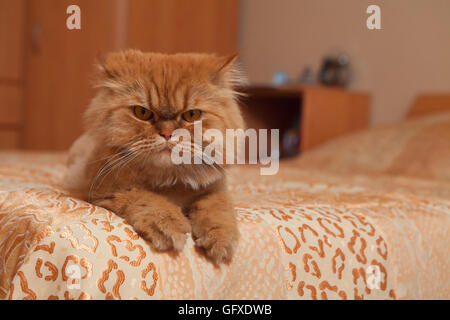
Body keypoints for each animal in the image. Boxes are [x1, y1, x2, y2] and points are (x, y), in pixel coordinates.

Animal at [64, 49, 243, 264]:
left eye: (191, 115)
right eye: (142, 112)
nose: (167, 134)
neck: (170, 179)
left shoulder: (216, 188)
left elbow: (218, 209)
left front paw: (221, 240)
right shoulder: (103, 193)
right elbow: (148, 200)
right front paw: (170, 226)